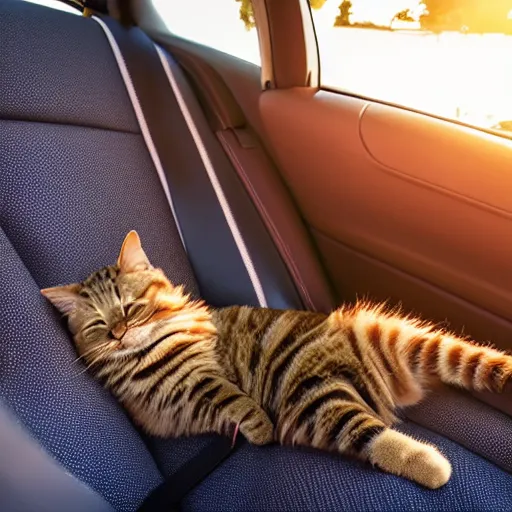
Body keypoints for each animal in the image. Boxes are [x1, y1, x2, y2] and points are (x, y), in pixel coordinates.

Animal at [41, 231, 512, 488]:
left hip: (330, 384)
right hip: (328, 393)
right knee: (374, 432)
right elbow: (233, 406)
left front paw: (258, 426)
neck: (141, 356)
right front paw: (255, 429)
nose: (119, 333)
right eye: (99, 324)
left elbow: (234, 397)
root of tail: (378, 385)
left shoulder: (206, 376)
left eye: (131, 307)